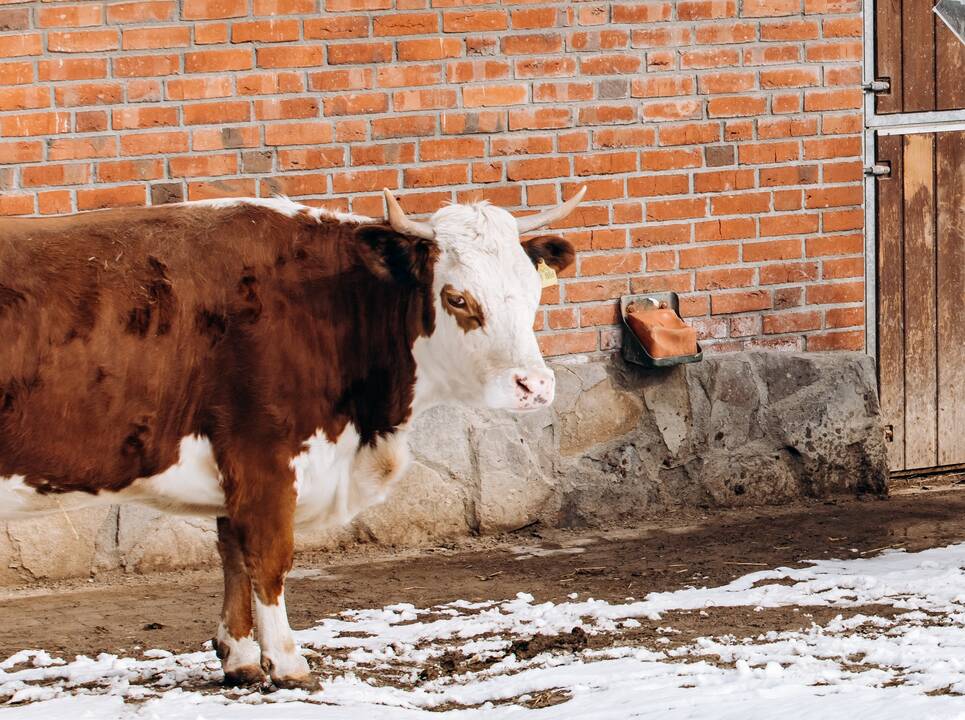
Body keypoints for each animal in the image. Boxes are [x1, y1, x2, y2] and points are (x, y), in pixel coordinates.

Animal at [0, 188, 580, 688]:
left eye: (534, 291)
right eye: (456, 297)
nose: (535, 385)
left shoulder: (233, 470)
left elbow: (233, 555)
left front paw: (238, 658)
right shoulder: (265, 456)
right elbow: (269, 558)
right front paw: (286, 662)